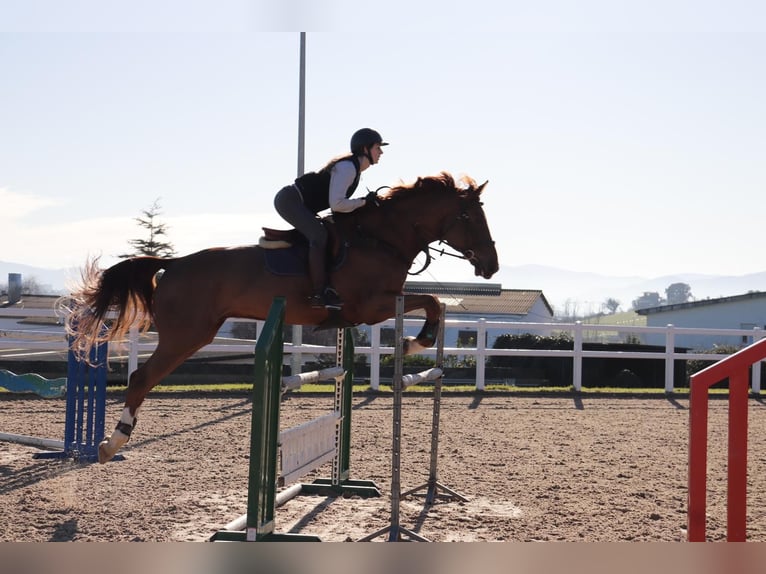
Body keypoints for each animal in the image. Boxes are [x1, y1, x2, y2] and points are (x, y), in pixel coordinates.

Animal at [66, 172, 499, 463]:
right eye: (470, 218)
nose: (491, 265)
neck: (381, 239)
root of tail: (174, 263)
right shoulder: (370, 307)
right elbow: (431, 300)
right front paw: (414, 341)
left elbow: (435, 302)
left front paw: (413, 341)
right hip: (186, 336)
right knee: (141, 377)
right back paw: (111, 444)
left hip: (192, 334)